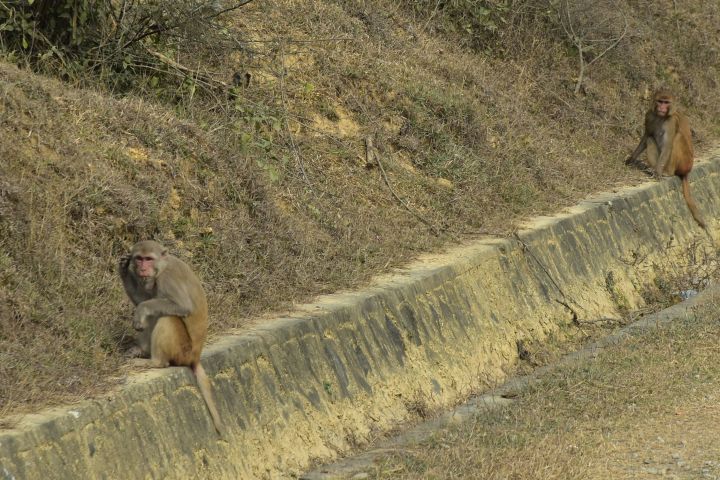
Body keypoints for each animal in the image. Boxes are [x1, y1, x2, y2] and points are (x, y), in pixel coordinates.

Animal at [118, 240, 222, 436]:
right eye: (139, 258)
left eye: (148, 259)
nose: (142, 268)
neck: (162, 266)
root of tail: (195, 357)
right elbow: (144, 299)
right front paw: (123, 271)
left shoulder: (167, 279)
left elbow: (181, 306)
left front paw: (141, 310)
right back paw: (141, 351)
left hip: (182, 350)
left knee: (167, 317)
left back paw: (155, 361)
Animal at [628, 87, 704, 231]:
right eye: (660, 101)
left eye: (666, 102)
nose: (662, 108)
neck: (661, 116)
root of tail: (687, 171)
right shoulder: (649, 115)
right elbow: (647, 136)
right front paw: (631, 159)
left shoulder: (671, 122)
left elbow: (668, 145)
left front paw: (658, 172)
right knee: (651, 139)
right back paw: (653, 169)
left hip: (685, 163)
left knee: (677, 138)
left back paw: (667, 172)